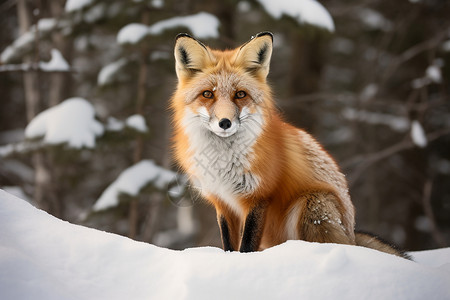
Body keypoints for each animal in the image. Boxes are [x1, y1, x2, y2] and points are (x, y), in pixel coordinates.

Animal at [170, 32, 408, 258]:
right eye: (207, 94)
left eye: (240, 94)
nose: (225, 123)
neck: (223, 161)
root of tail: (351, 235)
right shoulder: (223, 202)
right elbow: (229, 245)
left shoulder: (259, 197)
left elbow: (247, 245)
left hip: (311, 204)